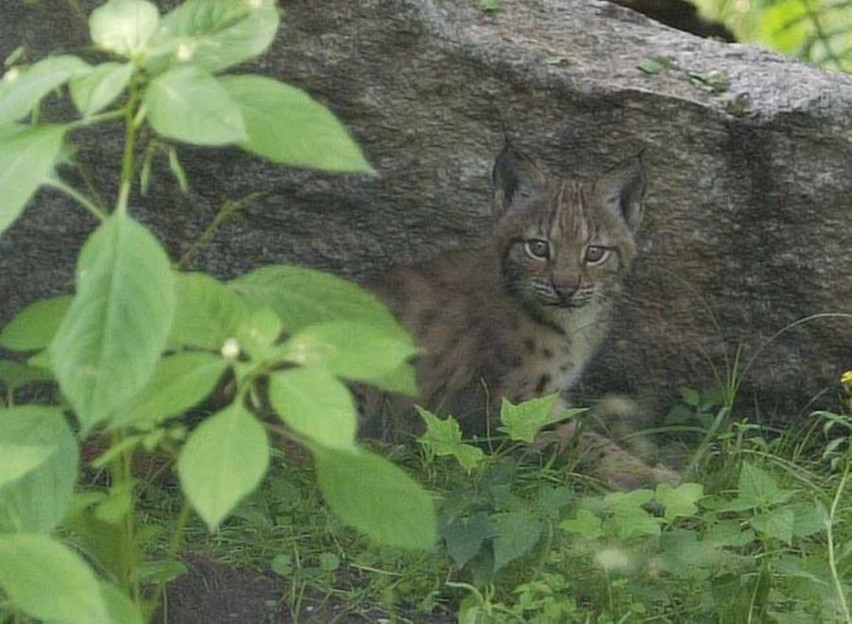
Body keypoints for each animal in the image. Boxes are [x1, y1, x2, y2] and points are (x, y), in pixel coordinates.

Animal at [364, 145, 680, 488]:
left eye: (594, 253)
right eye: (538, 248)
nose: (565, 289)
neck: (569, 323)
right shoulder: (517, 404)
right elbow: (587, 441)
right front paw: (648, 476)